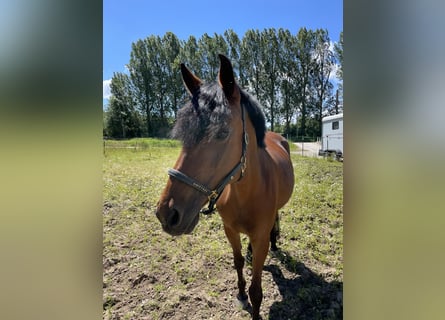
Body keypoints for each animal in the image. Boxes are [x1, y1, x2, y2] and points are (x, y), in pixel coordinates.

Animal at [156, 53, 294, 318]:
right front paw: (240, 294)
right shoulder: (230, 230)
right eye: (183, 135)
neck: (245, 193)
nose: (167, 214)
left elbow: (257, 289)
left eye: (222, 133)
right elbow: (238, 262)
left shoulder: (260, 236)